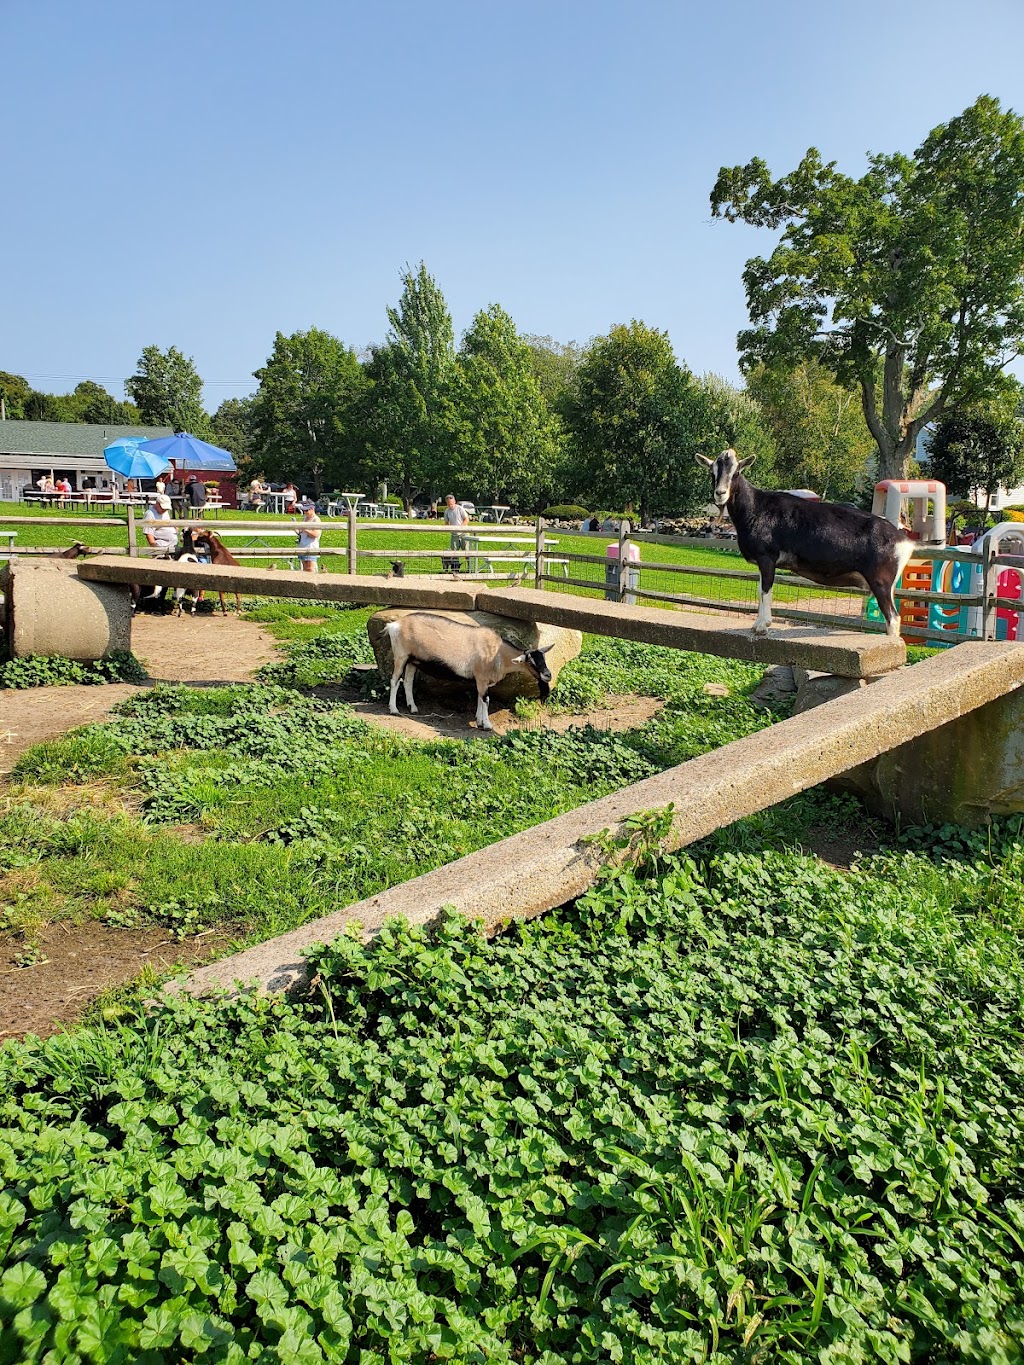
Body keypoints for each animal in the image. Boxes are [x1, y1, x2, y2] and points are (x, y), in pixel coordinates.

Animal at [385, 614, 554, 731]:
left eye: (544, 658)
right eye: (531, 662)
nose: (548, 675)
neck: (497, 653)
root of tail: (394, 625)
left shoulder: (481, 681)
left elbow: (479, 698)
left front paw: (479, 720)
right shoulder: (482, 678)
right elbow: (486, 700)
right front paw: (487, 725)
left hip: (413, 660)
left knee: (407, 681)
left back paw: (413, 707)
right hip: (401, 655)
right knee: (395, 680)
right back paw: (394, 710)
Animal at [693, 450, 917, 636]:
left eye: (737, 472)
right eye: (712, 472)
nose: (720, 493)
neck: (756, 507)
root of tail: (903, 540)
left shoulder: (767, 557)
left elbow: (765, 589)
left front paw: (762, 626)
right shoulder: (763, 562)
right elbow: (760, 589)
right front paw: (758, 624)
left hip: (881, 581)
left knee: (893, 618)